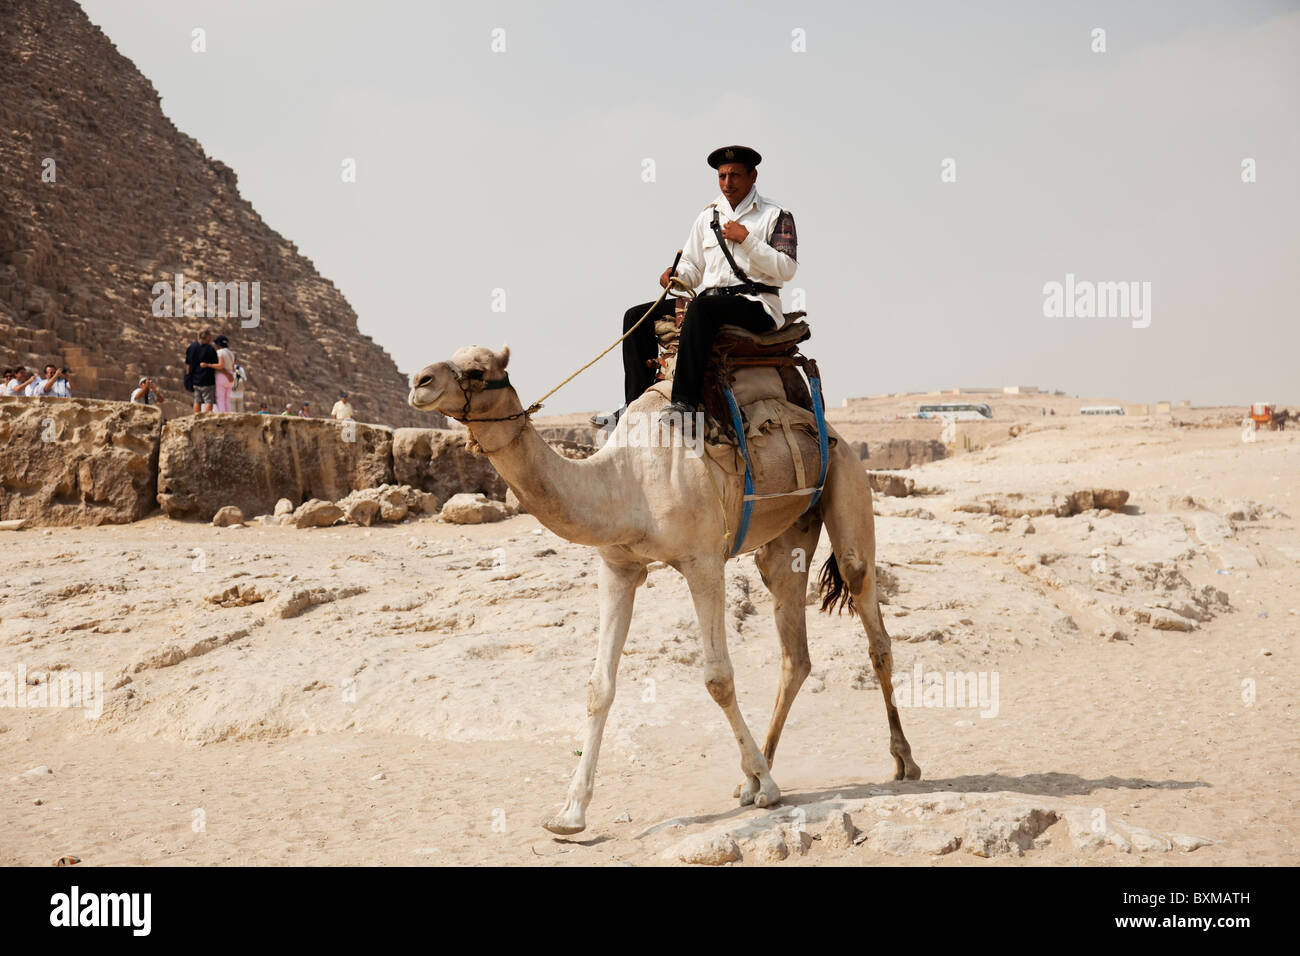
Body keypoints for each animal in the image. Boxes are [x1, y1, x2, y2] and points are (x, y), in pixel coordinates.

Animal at [410, 345, 920, 837]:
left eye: (478, 370)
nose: (420, 381)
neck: (625, 482)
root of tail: (830, 430)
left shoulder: (703, 562)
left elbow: (717, 678)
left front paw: (768, 784)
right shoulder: (617, 567)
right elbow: (599, 685)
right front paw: (570, 813)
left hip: (847, 482)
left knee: (870, 616)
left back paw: (902, 761)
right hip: (788, 535)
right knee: (795, 649)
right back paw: (752, 779)